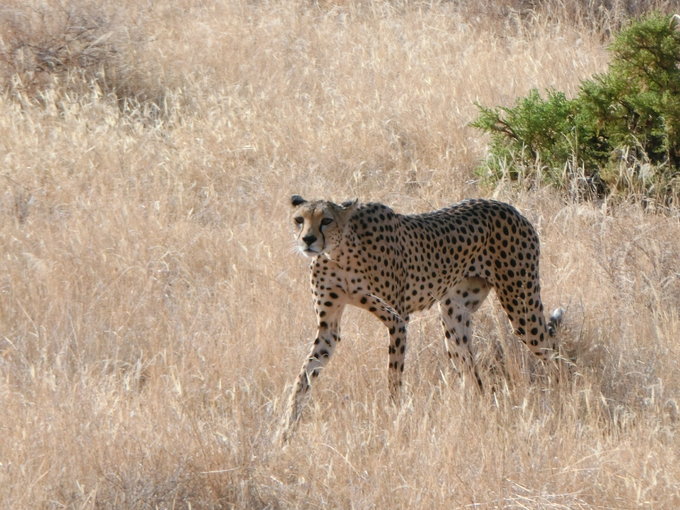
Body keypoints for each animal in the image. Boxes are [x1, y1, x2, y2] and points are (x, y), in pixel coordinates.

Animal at [282, 195, 564, 438]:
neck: (339, 253)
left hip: (521, 307)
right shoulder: (328, 327)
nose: (308, 240)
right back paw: (474, 412)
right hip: (453, 316)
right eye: (299, 219)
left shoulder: (397, 318)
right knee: (472, 373)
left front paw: (393, 414)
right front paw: (286, 428)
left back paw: (561, 397)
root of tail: (507, 206)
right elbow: (304, 375)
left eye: (326, 220)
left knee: (552, 351)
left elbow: (394, 374)